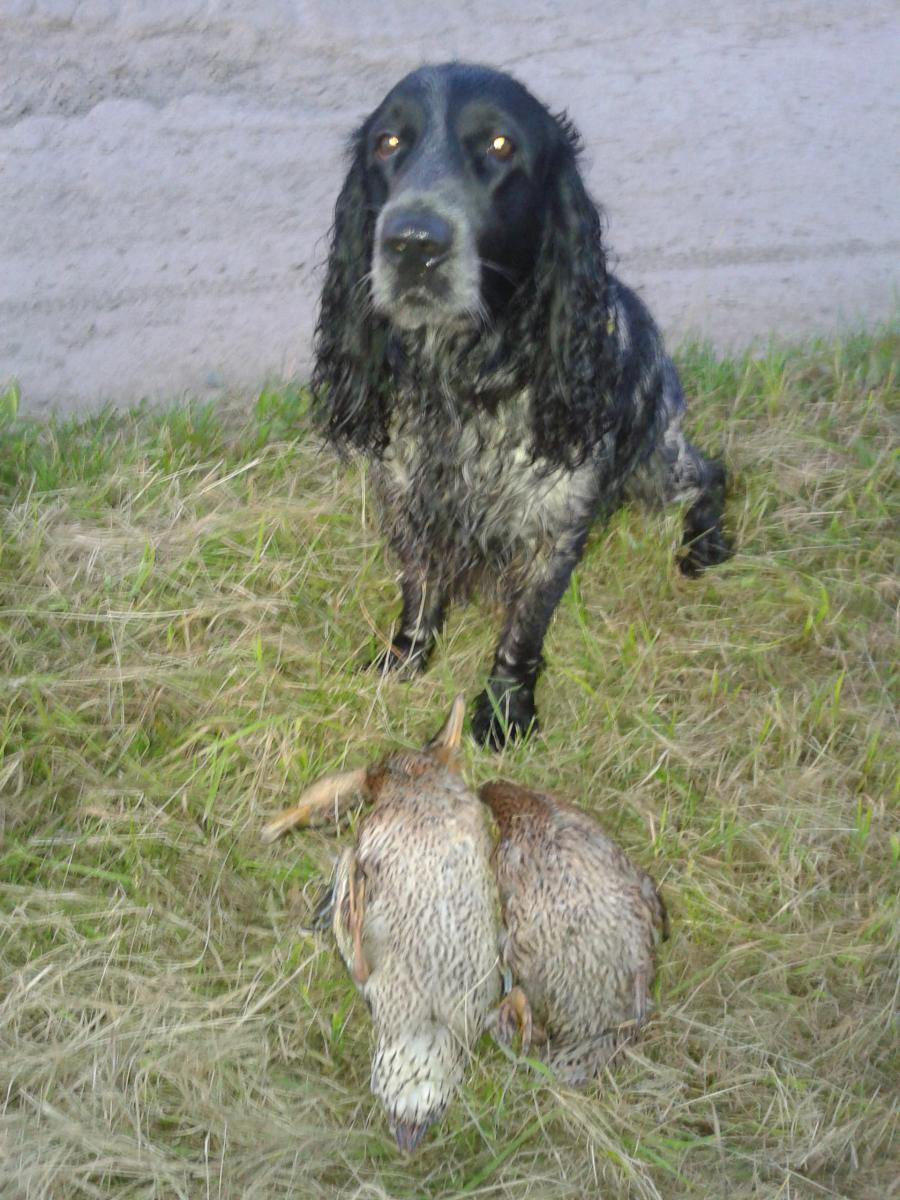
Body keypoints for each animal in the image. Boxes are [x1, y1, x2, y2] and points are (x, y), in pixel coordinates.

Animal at [312, 62, 731, 747]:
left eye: (500, 145)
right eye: (388, 143)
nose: (412, 244)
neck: (461, 381)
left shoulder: (553, 527)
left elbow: (523, 631)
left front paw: (505, 712)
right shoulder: (407, 501)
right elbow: (418, 590)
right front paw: (404, 660)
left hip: (656, 462)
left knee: (711, 473)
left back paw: (704, 546)